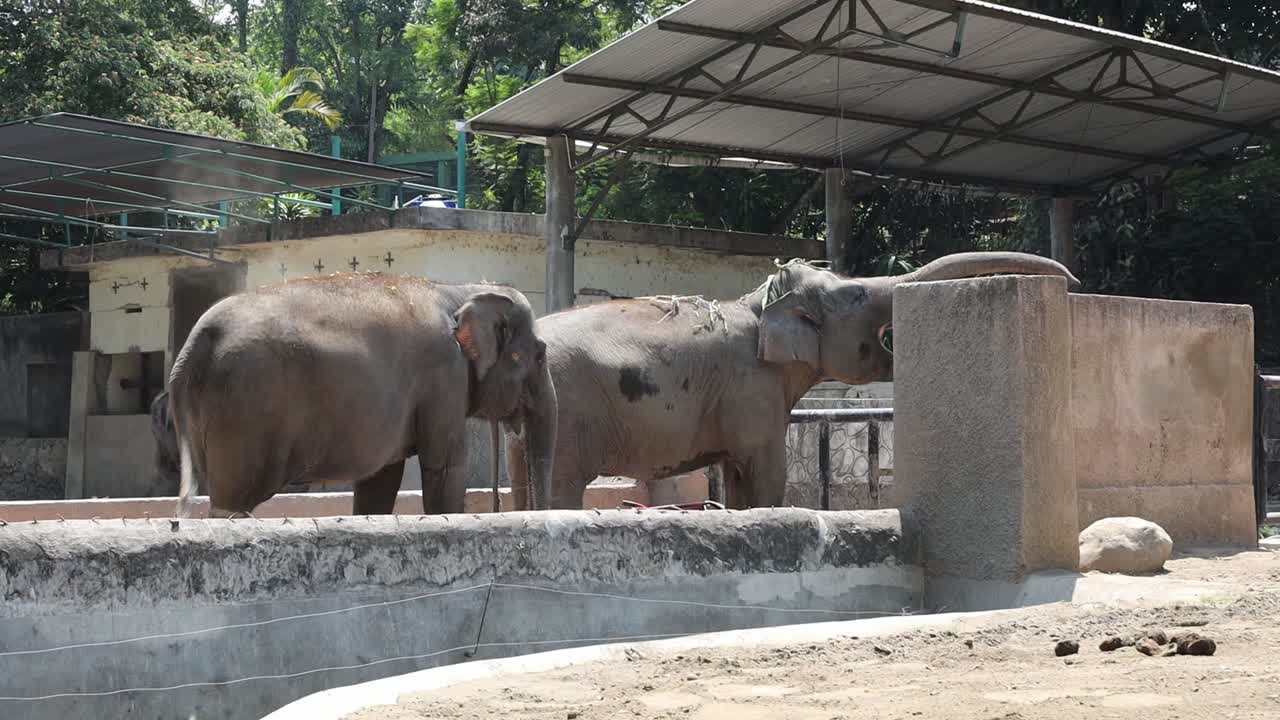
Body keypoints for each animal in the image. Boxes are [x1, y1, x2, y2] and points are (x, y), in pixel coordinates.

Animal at [167, 272, 557, 518]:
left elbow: (380, 481)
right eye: (540, 355)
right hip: (247, 408)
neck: (459, 290)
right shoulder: (445, 374)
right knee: (233, 500)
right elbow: (444, 467)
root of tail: (197, 338)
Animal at [504, 251, 1078, 511]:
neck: (763, 303)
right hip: (571, 410)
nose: (1074, 279)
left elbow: (739, 475)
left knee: (522, 479)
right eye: (856, 295)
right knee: (559, 484)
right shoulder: (751, 388)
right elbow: (765, 472)